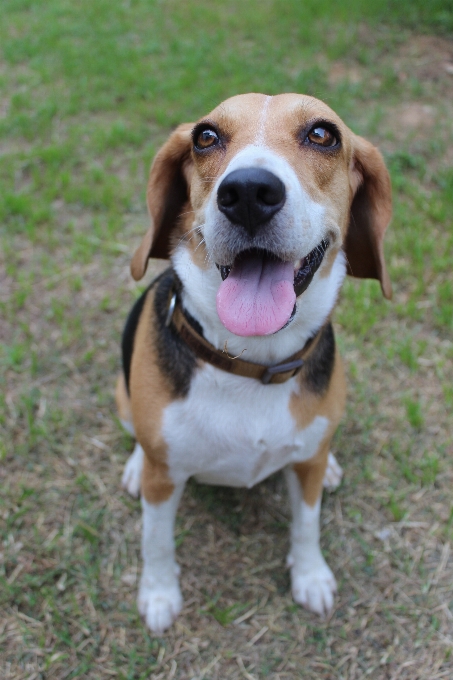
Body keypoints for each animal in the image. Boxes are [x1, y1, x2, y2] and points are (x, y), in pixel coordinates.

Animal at [115, 93, 390, 636]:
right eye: (205, 137)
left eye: (323, 134)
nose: (246, 192)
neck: (248, 362)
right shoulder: (163, 486)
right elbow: (156, 541)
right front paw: (158, 595)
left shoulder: (305, 475)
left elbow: (307, 524)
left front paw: (311, 576)